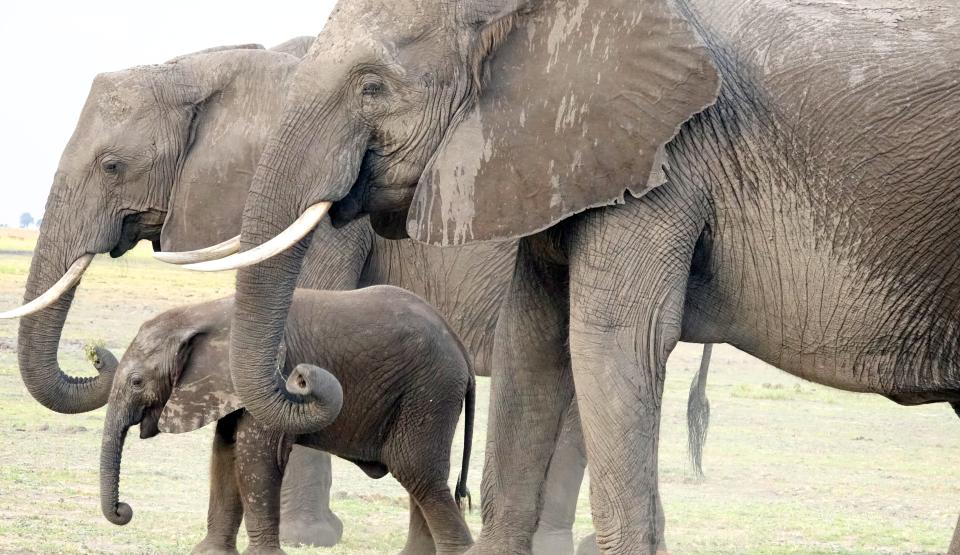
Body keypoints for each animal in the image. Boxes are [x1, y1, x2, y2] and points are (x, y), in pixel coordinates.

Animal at [96, 286, 472, 555]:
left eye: (136, 382)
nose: (124, 510)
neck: (206, 313)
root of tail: (459, 345)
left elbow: (256, 459)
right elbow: (225, 454)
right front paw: (209, 553)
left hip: (430, 389)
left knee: (416, 471)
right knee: (418, 479)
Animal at [161, 2, 960, 552]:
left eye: (372, 87)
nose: (305, 377)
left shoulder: (665, 156)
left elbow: (612, 342)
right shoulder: (552, 153)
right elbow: (534, 346)